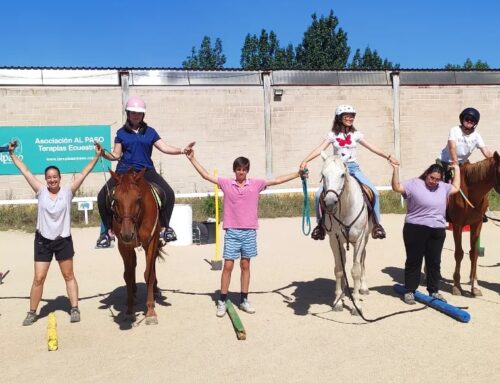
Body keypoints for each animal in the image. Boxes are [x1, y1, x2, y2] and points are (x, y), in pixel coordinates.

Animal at [110, 168, 163, 324]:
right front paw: (129, 310)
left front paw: (150, 311)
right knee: (132, 266)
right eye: (115, 199)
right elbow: (127, 275)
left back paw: (155, 290)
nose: (128, 234)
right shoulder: (123, 246)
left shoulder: (151, 242)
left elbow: (149, 274)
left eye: (138, 198)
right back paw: (133, 294)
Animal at [320, 153, 372, 316]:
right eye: (323, 175)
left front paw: (357, 305)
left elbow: (355, 271)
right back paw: (343, 293)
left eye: (342, 175)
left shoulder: (360, 239)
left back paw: (363, 288)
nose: (330, 203)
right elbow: (338, 270)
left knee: (362, 260)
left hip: (365, 239)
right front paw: (337, 301)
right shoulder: (334, 240)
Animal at [446, 152, 500, 298]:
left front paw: (474, 286)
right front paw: (457, 286)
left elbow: (474, 253)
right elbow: (459, 253)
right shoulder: (457, 225)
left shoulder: (477, 224)